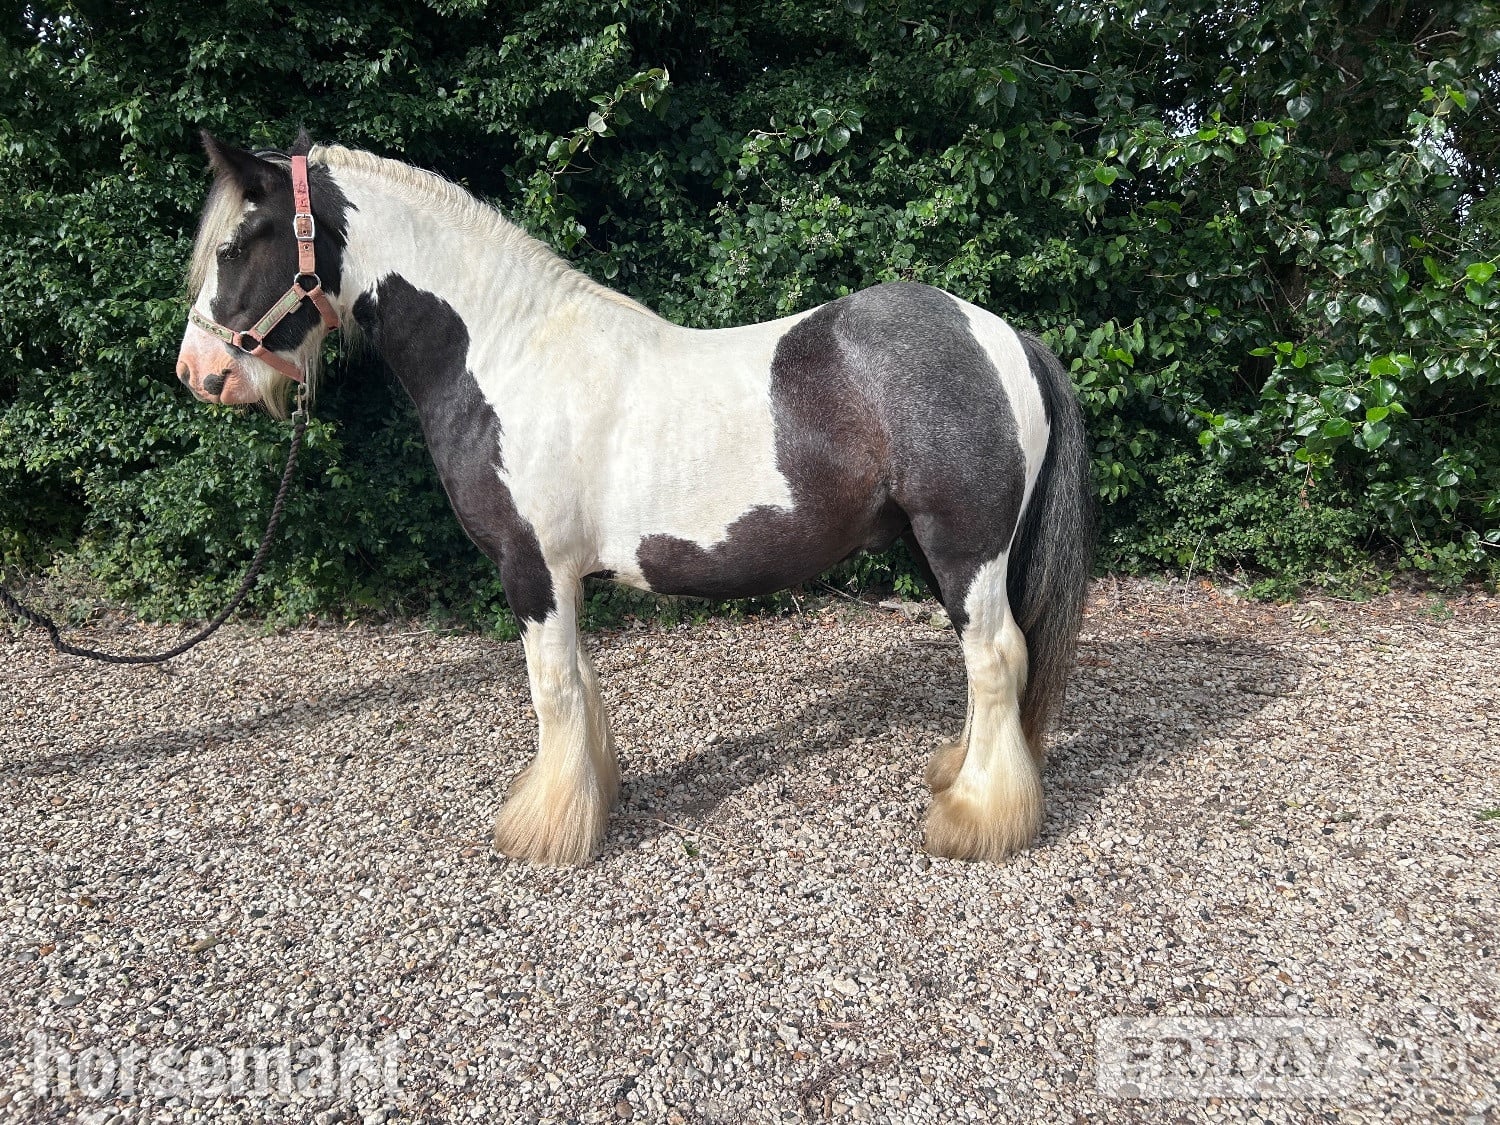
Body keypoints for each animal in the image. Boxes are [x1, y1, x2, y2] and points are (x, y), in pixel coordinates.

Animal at [175, 132, 1096, 867]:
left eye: (238, 243)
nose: (200, 371)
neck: (507, 352)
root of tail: (1001, 334)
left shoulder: (531, 570)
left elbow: (551, 689)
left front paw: (544, 830)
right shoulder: (560, 577)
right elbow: (578, 684)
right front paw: (590, 798)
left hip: (962, 548)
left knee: (996, 657)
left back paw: (974, 819)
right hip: (941, 552)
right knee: (989, 661)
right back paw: (958, 774)